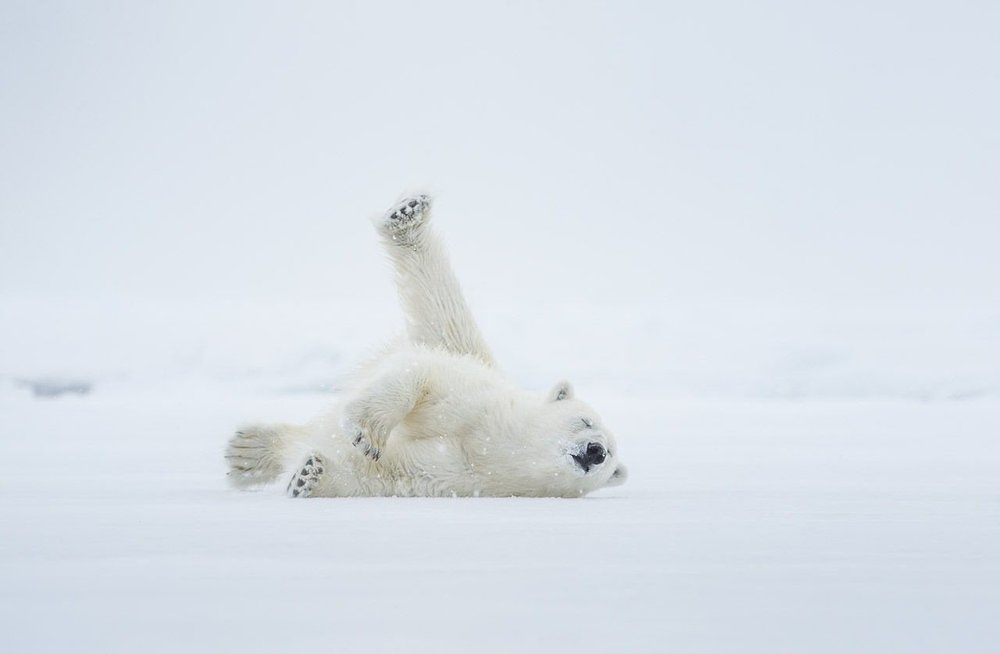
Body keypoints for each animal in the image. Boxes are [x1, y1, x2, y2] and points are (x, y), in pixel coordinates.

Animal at [227, 192, 624, 500]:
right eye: (585, 420)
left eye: (611, 457)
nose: (596, 451)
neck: (498, 444)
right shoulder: (474, 402)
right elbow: (423, 379)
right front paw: (367, 431)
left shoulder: (466, 477)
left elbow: (390, 474)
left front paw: (311, 474)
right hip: (458, 346)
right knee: (440, 304)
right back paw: (407, 215)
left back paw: (246, 453)